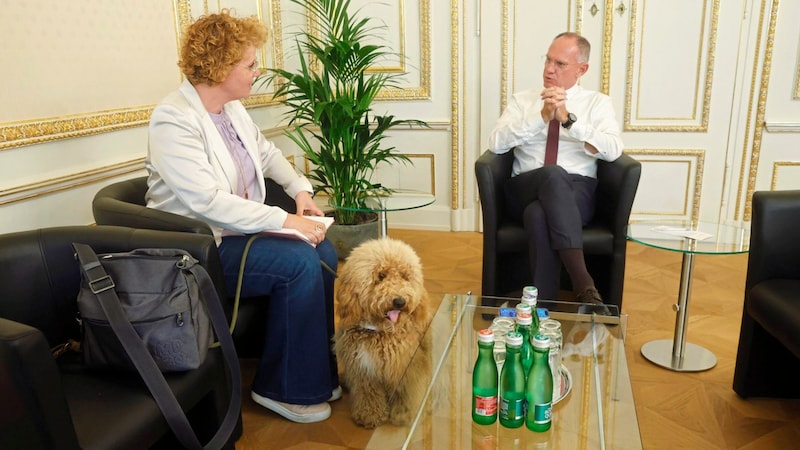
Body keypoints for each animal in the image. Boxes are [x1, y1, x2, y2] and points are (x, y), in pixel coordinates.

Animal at [332, 237, 432, 428]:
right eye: (381, 276)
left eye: (405, 276)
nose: (399, 301)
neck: (379, 332)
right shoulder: (362, 369)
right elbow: (368, 393)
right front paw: (370, 414)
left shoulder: (405, 366)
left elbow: (405, 393)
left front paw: (403, 414)